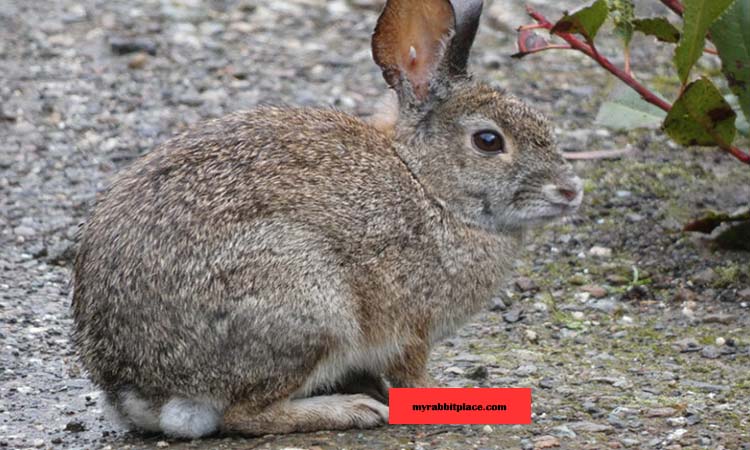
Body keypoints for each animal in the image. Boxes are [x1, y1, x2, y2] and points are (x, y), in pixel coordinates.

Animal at [73, 0, 584, 440]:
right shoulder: (410, 329)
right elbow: (412, 376)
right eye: (488, 141)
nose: (571, 190)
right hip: (306, 302)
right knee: (244, 414)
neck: (428, 185)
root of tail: (137, 390)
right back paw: (350, 410)